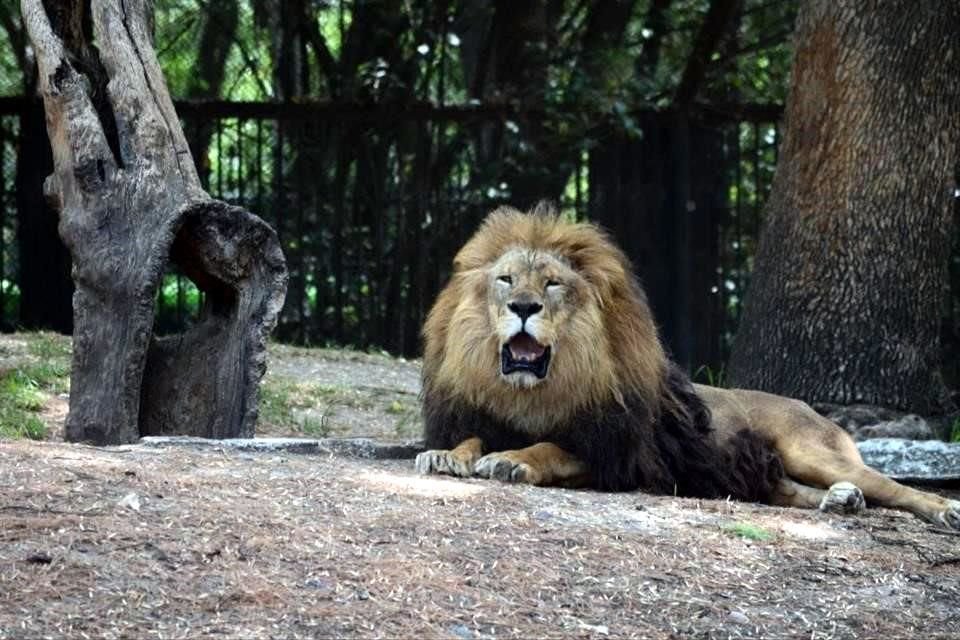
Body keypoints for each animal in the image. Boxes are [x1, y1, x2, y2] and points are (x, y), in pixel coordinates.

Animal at [416, 206, 960, 528]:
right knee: (794, 490)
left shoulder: (620, 456)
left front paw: (513, 459)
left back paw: (944, 509)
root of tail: (813, 408)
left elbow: (551, 447)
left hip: (812, 450)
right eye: (506, 280)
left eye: (552, 284)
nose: (524, 306)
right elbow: (469, 438)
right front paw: (445, 455)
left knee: (896, 487)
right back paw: (840, 501)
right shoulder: (485, 417)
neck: (530, 392)